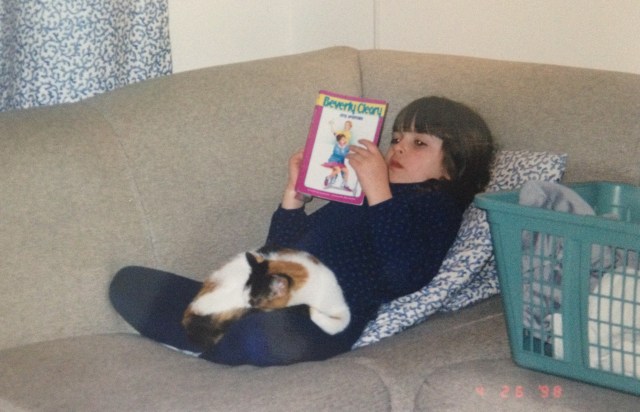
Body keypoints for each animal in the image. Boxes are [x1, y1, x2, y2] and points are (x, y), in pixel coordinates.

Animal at [181, 246, 350, 350]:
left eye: (254, 301)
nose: (247, 305)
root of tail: (190, 315)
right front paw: (310, 310)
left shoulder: (340, 306)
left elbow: (340, 322)